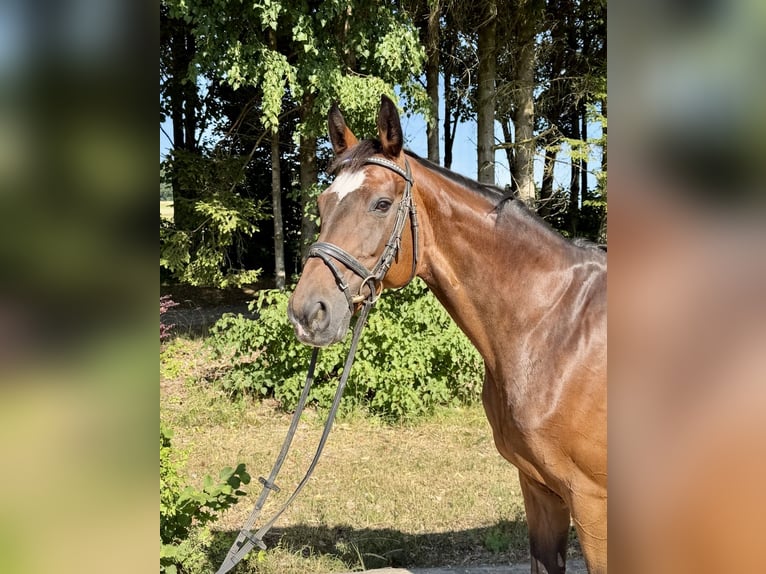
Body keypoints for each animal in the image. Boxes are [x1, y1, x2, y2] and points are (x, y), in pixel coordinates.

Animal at [287, 95, 607, 573]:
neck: (555, 326)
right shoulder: (539, 489)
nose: (307, 313)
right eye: (324, 204)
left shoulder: (594, 504)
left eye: (382, 204)